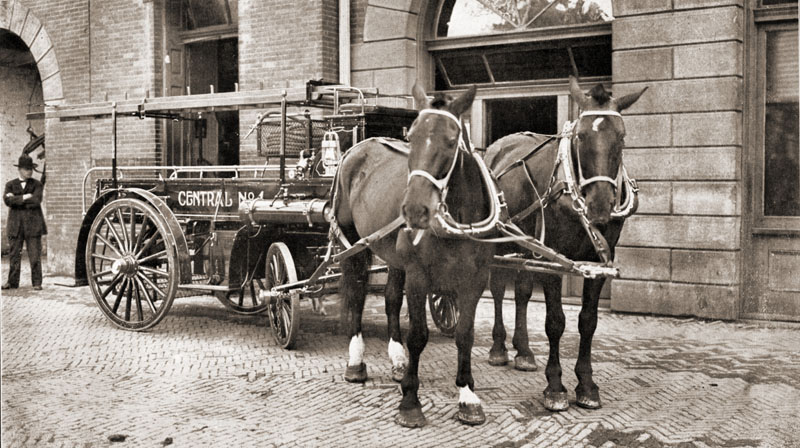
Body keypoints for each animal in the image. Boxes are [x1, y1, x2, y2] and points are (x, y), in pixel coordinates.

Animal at [330, 84, 494, 428]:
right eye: (413, 136)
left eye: (451, 139)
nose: (415, 210)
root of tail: (356, 149)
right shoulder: (419, 276)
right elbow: (418, 335)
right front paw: (410, 402)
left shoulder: (475, 279)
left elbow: (465, 335)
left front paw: (467, 396)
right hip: (354, 244)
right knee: (356, 293)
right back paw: (356, 362)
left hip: (394, 257)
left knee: (391, 297)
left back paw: (398, 360)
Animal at [484, 75, 648, 412]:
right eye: (581, 137)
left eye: (622, 137)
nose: (599, 206)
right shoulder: (555, 260)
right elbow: (555, 322)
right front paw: (555, 386)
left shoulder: (599, 261)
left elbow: (588, 321)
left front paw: (586, 384)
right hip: (499, 240)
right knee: (497, 290)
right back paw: (498, 348)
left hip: (528, 245)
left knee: (521, 292)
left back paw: (523, 352)